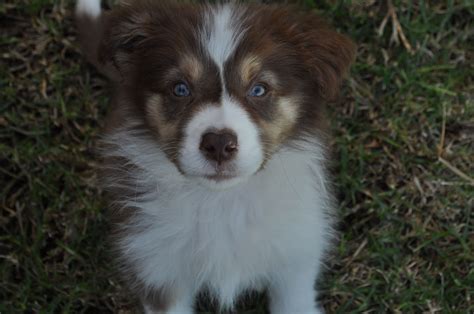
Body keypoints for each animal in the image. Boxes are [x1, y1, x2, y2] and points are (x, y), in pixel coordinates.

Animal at [75, 0, 356, 312]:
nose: (219, 144)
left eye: (259, 89)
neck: (221, 202)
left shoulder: (295, 261)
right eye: (180, 88)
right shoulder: (157, 270)